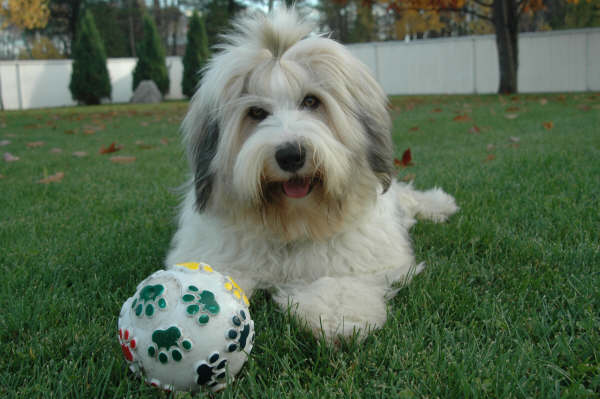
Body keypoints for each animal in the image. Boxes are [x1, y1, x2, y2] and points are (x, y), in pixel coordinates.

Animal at [166, 7, 458, 342]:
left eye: (311, 101)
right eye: (256, 113)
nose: (290, 155)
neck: (295, 220)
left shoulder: (356, 260)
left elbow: (340, 283)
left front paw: (337, 318)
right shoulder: (217, 252)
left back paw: (440, 205)